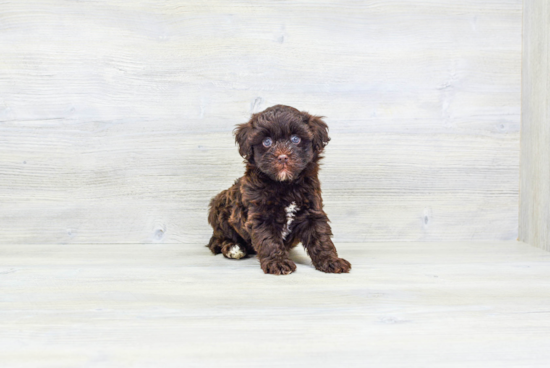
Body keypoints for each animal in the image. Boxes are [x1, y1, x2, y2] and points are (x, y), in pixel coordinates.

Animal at [207, 105, 354, 274]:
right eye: (267, 142)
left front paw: (331, 260)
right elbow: (268, 239)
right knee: (218, 241)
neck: (285, 185)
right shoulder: (261, 215)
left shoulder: (312, 209)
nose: (283, 157)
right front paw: (277, 262)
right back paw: (233, 248)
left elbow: (320, 236)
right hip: (219, 207)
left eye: (295, 139)